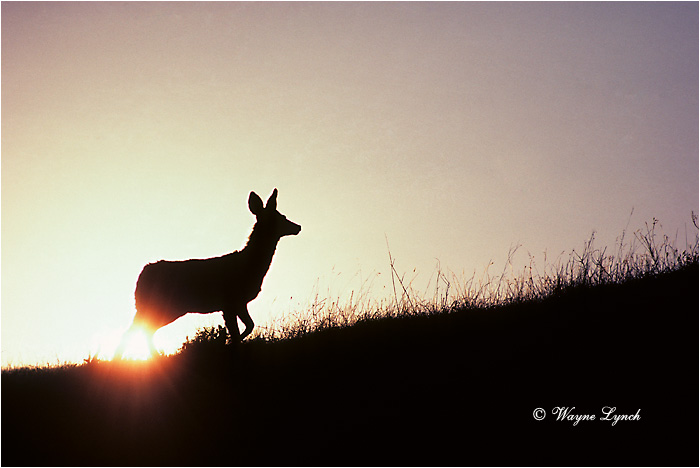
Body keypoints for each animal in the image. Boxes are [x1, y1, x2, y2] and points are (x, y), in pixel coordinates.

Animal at [114, 188, 301, 359]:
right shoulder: (230, 301)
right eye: (281, 217)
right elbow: (238, 331)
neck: (250, 266)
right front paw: (232, 347)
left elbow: (249, 325)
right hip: (164, 306)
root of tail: (142, 275)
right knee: (140, 329)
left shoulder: (239, 302)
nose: (298, 226)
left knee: (142, 329)